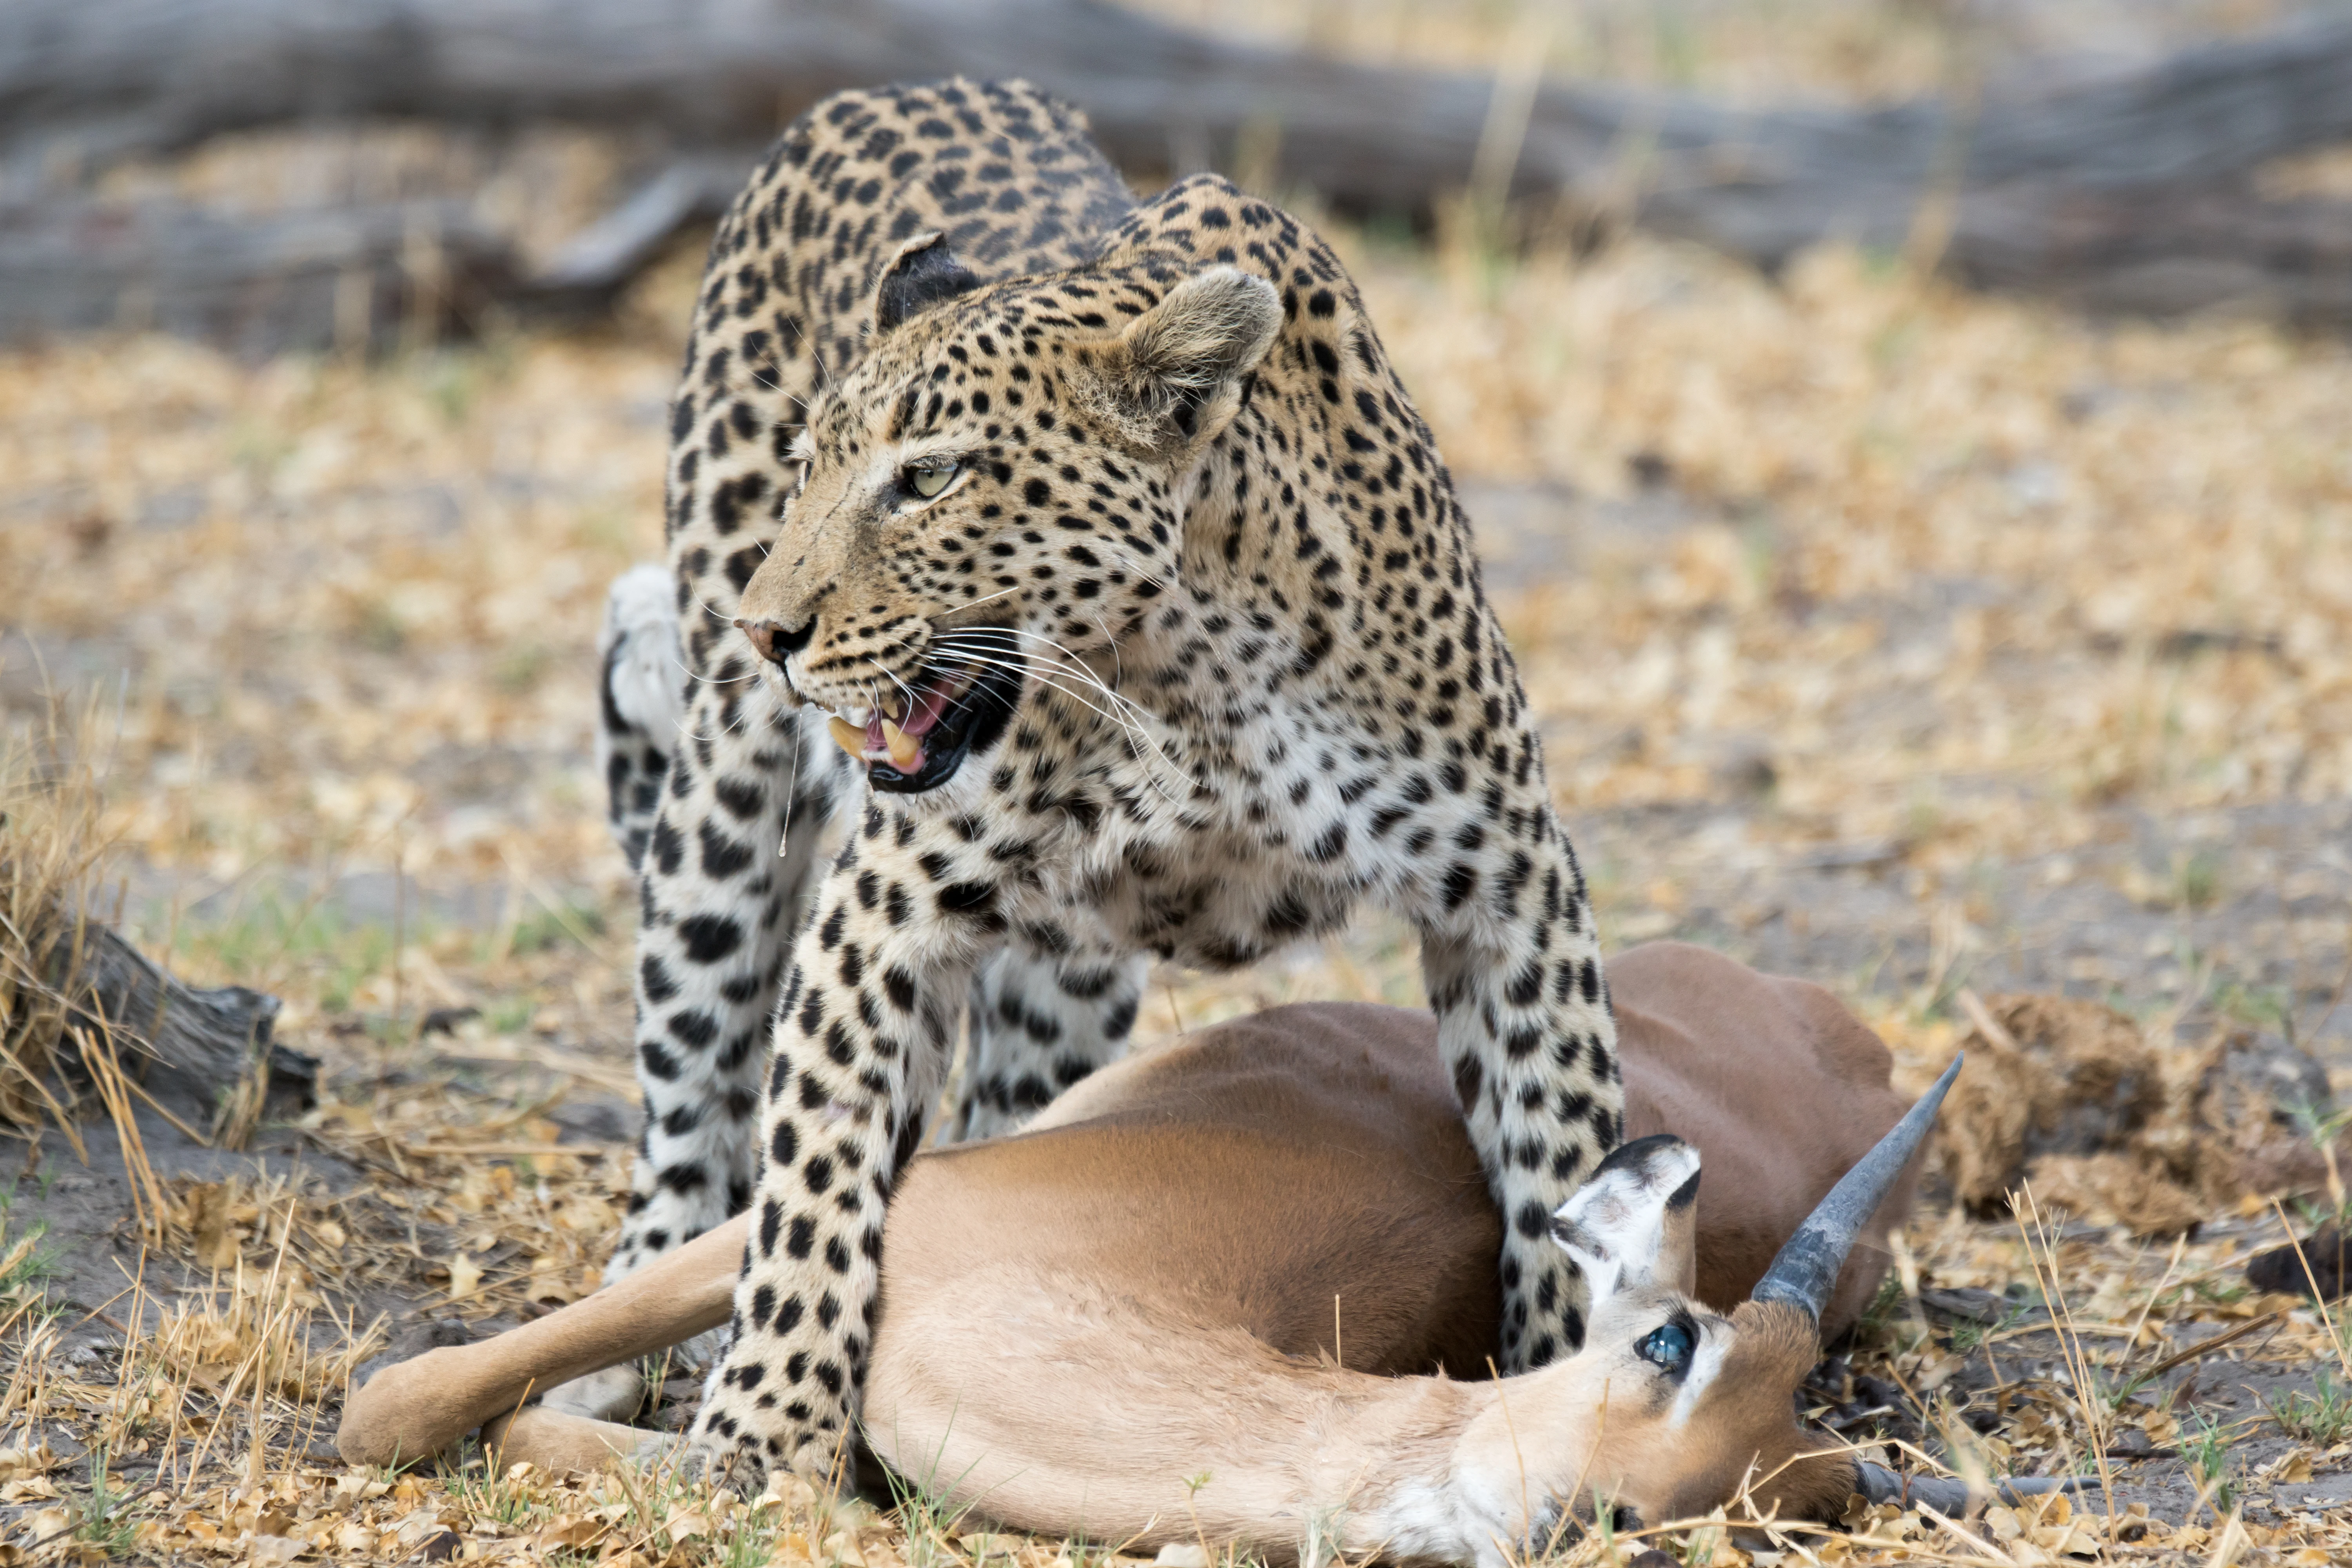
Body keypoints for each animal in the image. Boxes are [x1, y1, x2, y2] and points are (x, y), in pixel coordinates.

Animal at [596, 76, 1623, 1483]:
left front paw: (1578, 1377)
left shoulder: (1513, 890)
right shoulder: (877, 912)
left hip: (1069, 988)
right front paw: (763, 1432)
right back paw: (639, 1326)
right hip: (723, 796)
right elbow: (813, 1178)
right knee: (689, 1078)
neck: (1208, 670)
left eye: (929, 477)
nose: (772, 630)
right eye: (813, 466)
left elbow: (1563, 1150)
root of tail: (886, 88)